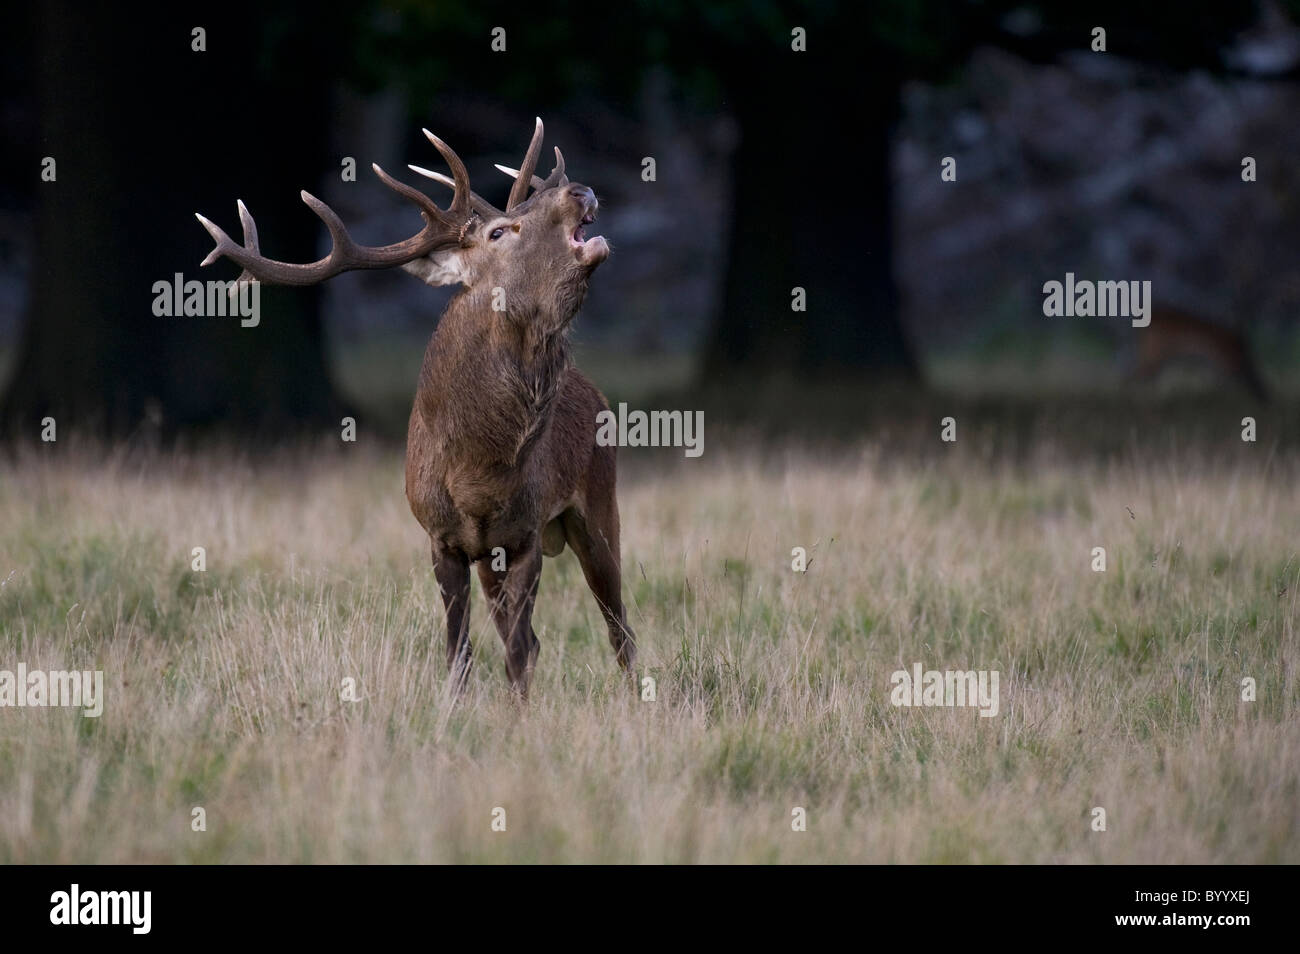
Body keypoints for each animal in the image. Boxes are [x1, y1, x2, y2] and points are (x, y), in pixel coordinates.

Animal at [195, 121, 637, 701]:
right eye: (500, 232)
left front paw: (520, 715)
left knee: (619, 629)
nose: (579, 190)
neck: (476, 469)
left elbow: (516, 654)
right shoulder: (441, 538)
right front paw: (455, 709)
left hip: (601, 506)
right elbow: (460, 652)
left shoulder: (524, 534)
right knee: (548, 637)